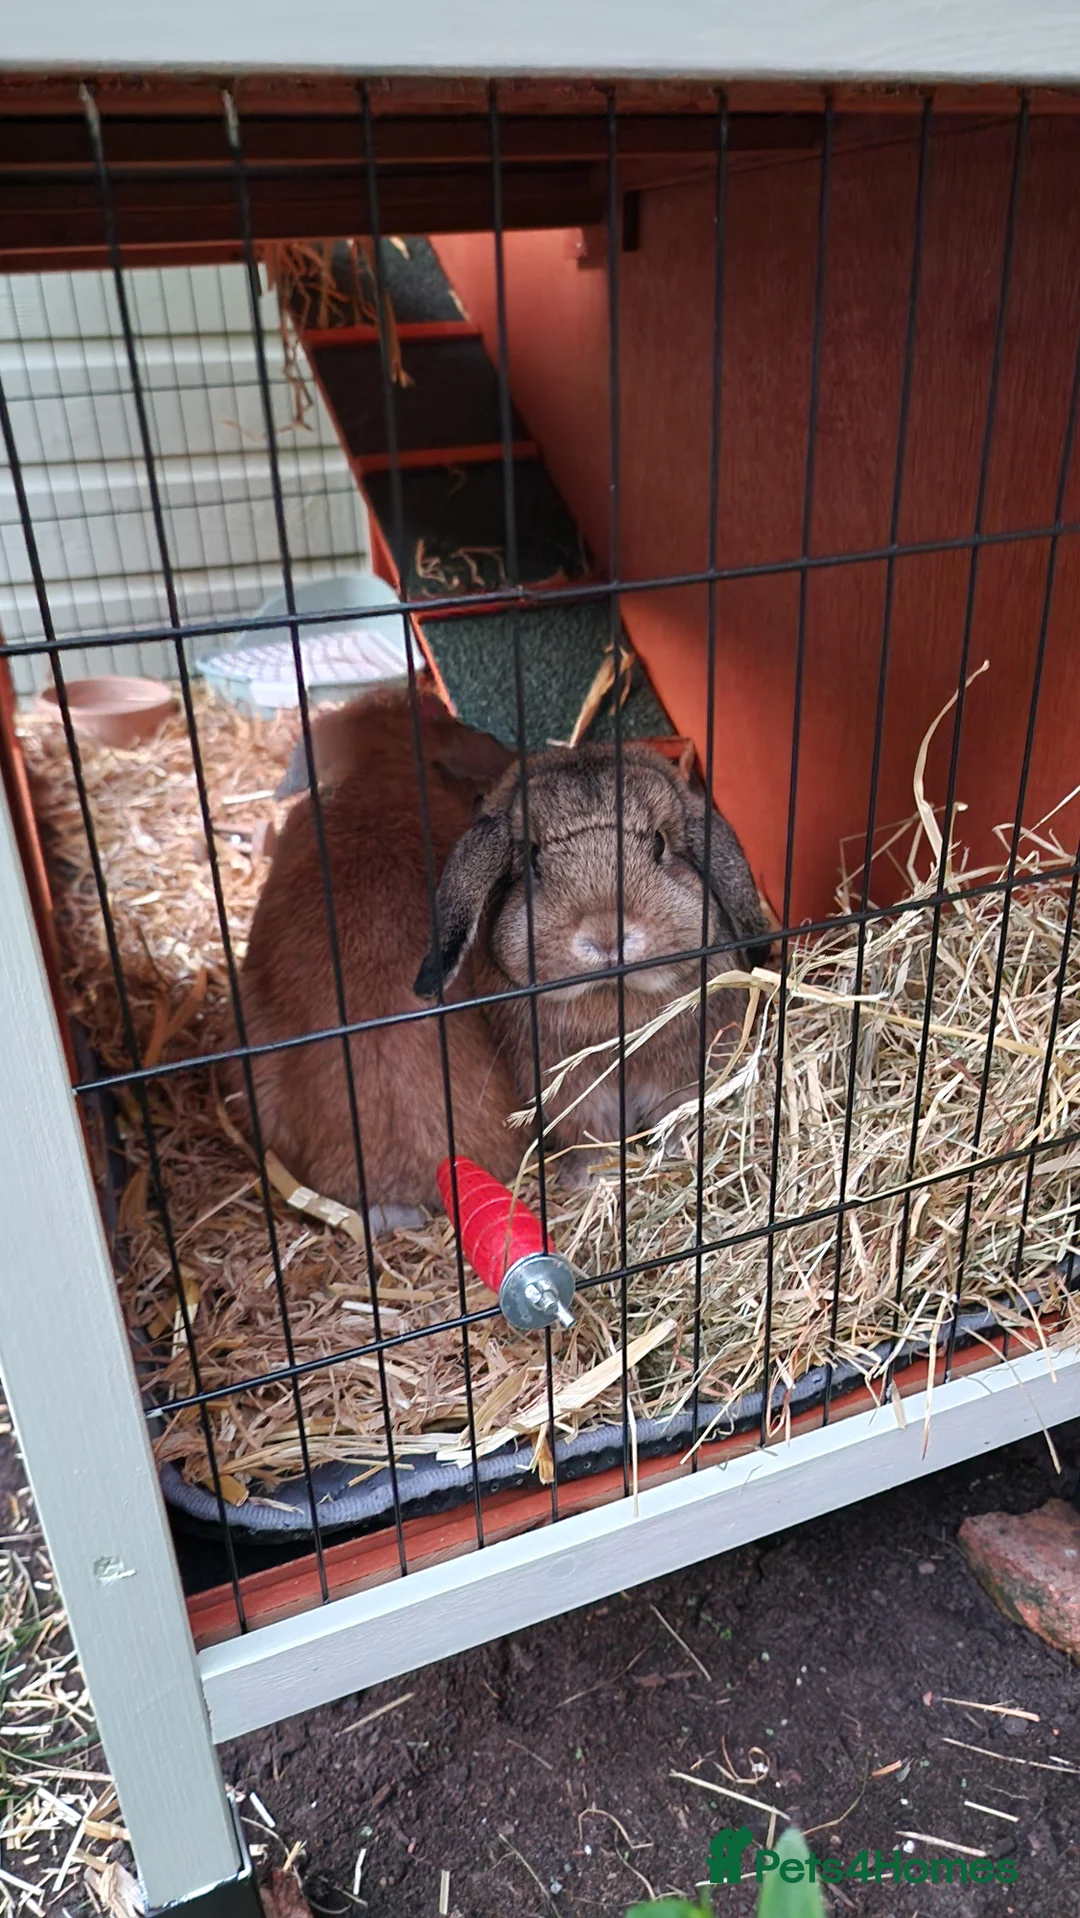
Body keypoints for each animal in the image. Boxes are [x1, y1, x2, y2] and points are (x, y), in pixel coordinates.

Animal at [414, 742, 772, 1185]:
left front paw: (675, 1154)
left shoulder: (682, 1073)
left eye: (659, 844)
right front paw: (589, 1180)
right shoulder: (568, 1092)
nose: (607, 936)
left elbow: (675, 1113)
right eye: (532, 859)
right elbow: (589, 1134)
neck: (611, 998)